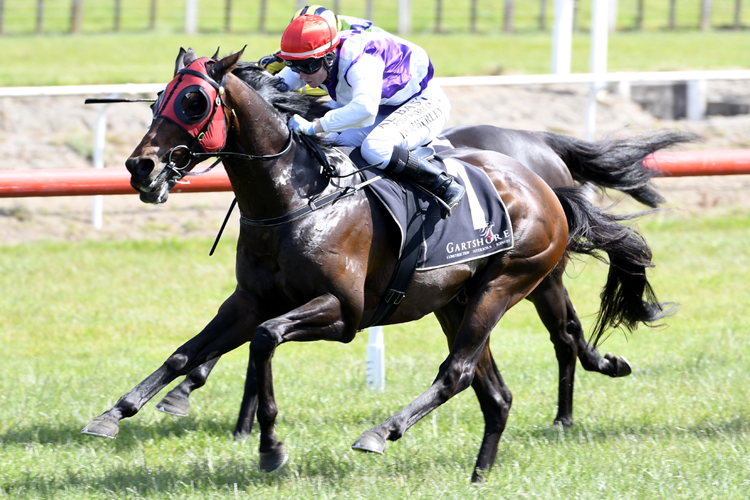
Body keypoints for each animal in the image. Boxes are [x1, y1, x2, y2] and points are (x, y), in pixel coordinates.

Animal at [85, 49, 672, 480]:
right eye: (158, 101)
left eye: (193, 102)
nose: (140, 166)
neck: (294, 199)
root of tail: (545, 182)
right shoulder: (249, 300)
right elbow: (187, 353)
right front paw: (114, 413)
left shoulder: (342, 311)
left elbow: (265, 339)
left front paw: (270, 444)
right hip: (456, 300)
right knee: (496, 393)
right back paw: (479, 475)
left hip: (510, 282)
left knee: (473, 367)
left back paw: (383, 432)